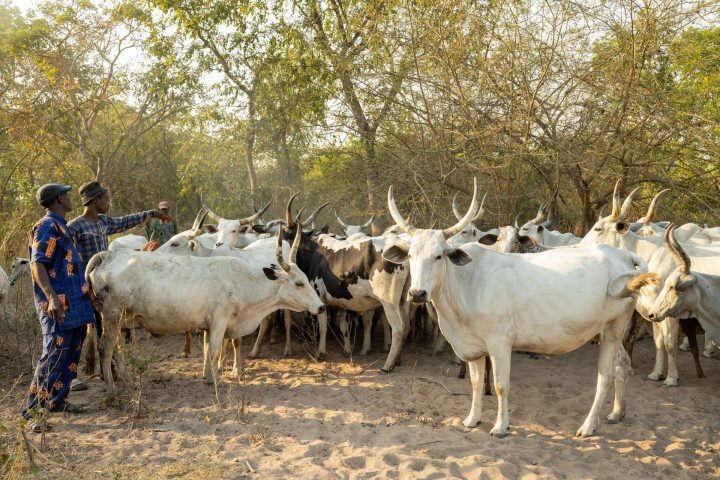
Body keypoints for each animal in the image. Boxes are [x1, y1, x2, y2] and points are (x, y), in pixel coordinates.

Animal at [85, 227, 325, 396]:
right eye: (298, 283)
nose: (321, 306)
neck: (242, 282)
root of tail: (108, 256)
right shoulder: (219, 322)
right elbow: (214, 352)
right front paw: (217, 380)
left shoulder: (208, 325)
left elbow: (208, 350)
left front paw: (207, 377)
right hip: (112, 317)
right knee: (105, 348)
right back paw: (111, 389)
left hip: (119, 320)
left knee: (116, 349)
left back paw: (127, 380)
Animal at [383, 178, 654, 437]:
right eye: (410, 256)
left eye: (439, 256)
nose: (417, 293)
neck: (465, 281)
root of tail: (623, 255)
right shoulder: (473, 346)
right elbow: (475, 383)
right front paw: (472, 419)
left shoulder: (499, 343)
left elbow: (501, 385)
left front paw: (500, 427)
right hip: (608, 332)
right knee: (622, 365)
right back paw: (616, 413)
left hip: (613, 330)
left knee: (605, 377)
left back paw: (588, 426)